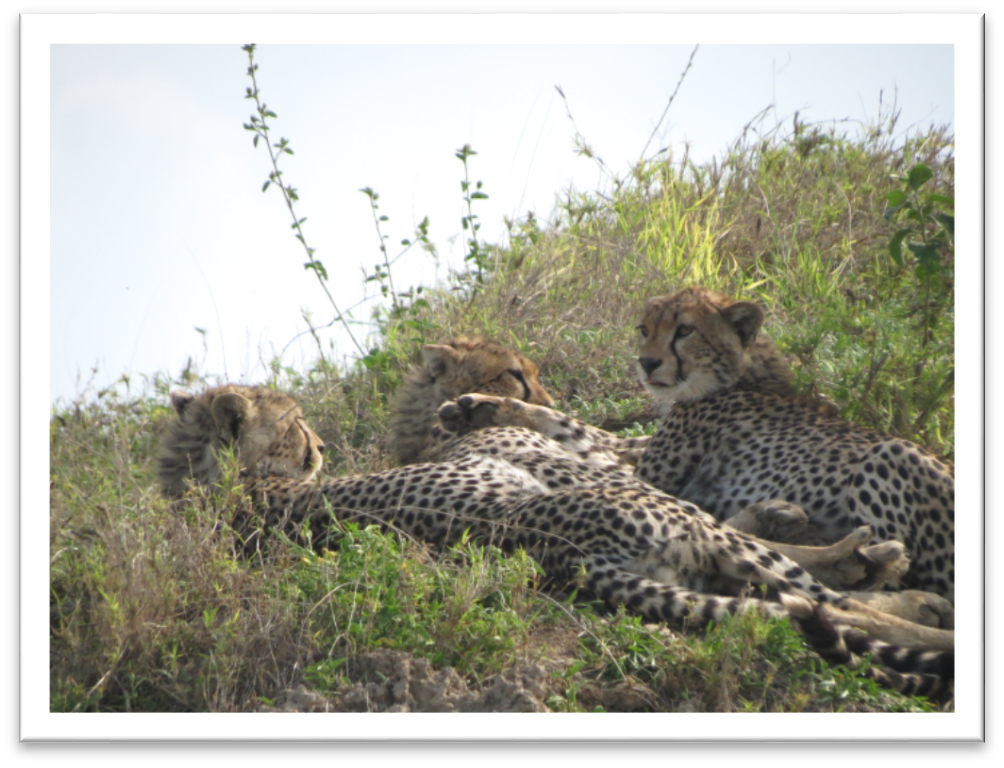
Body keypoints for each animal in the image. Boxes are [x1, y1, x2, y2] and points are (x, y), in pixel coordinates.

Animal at [160, 377, 951, 694]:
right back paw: (917, 608)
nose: (321, 443)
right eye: (295, 424)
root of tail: (572, 561)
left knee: (785, 591)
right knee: (830, 604)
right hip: (672, 529)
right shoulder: (617, 476)